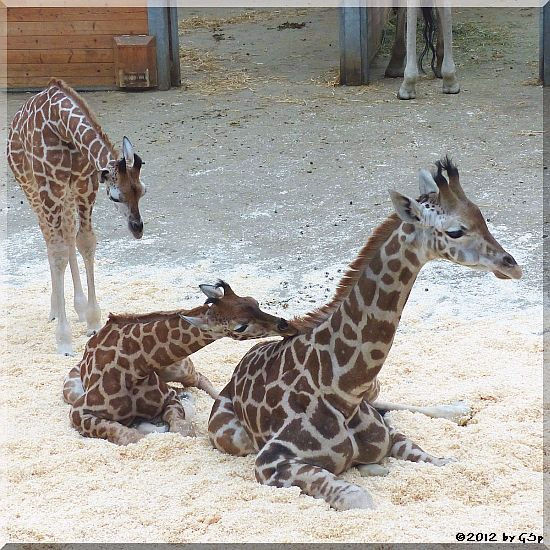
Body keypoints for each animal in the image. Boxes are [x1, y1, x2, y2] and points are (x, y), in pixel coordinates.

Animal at [7, 77, 147, 356]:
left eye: (143, 191)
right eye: (115, 198)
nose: (137, 229)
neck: (63, 128)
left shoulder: (84, 187)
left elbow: (85, 242)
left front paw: (93, 320)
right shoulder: (49, 189)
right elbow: (58, 251)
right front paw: (63, 340)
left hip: (67, 197)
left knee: (68, 235)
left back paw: (79, 307)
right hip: (31, 189)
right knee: (50, 240)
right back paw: (54, 309)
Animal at [63, 282, 298, 446]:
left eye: (254, 301)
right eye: (241, 326)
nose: (286, 325)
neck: (133, 368)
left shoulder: (169, 398)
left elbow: (182, 429)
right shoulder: (79, 412)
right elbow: (130, 436)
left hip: (178, 368)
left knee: (199, 378)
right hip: (70, 390)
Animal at [209, 160, 524, 512]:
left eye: (482, 216)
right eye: (456, 230)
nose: (512, 266)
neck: (344, 392)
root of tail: (236, 370)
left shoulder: (388, 434)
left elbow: (437, 459)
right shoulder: (270, 462)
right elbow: (359, 498)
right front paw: (370, 472)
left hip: (376, 390)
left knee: (389, 405)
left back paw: (456, 409)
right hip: (230, 436)